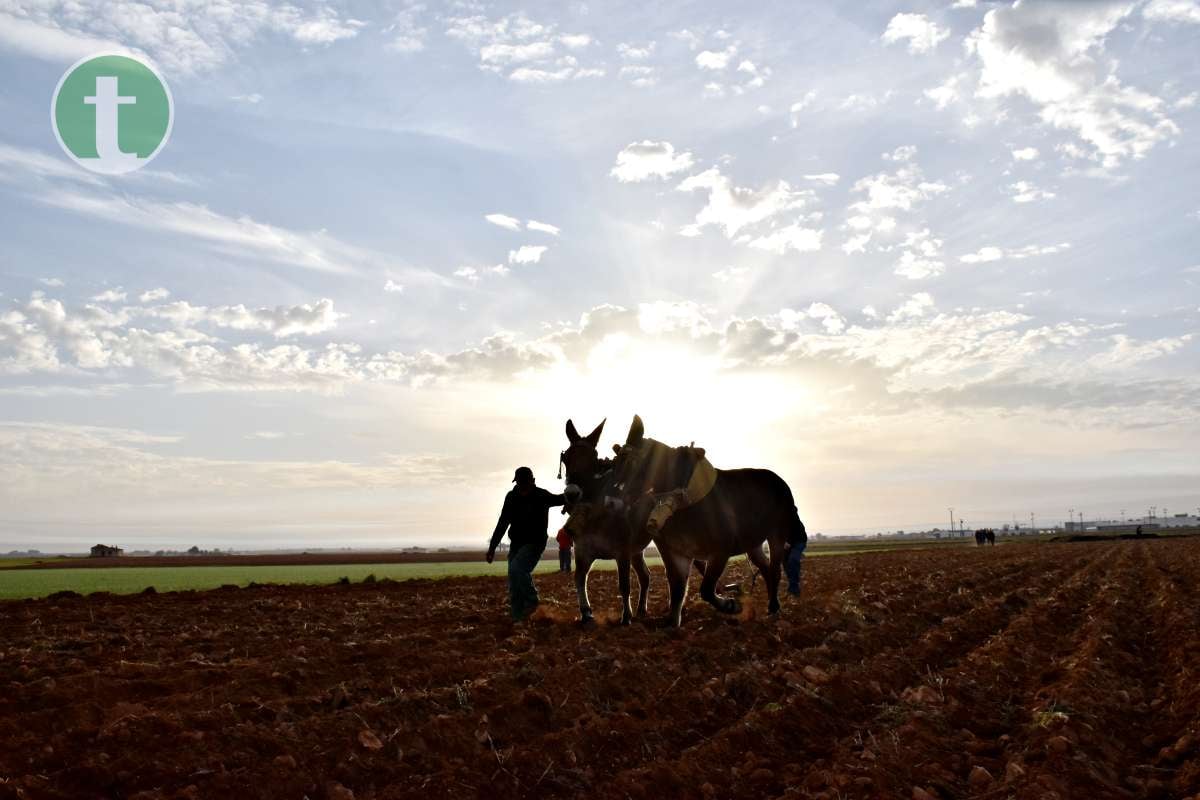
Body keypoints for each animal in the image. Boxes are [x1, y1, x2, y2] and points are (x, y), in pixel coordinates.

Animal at [609, 417, 806, 628]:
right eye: (615, 461)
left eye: (632, 461)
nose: (611, 501)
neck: (682, 500)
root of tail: (780, 482)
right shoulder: (677, 551)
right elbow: (677, 588)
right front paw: (673, 623)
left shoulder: (721, 551)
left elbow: (706, 589)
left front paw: (732, 605)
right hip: (753, 544)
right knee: (766, 569)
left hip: (777, 534)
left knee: (775, 570)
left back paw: (774, 609)